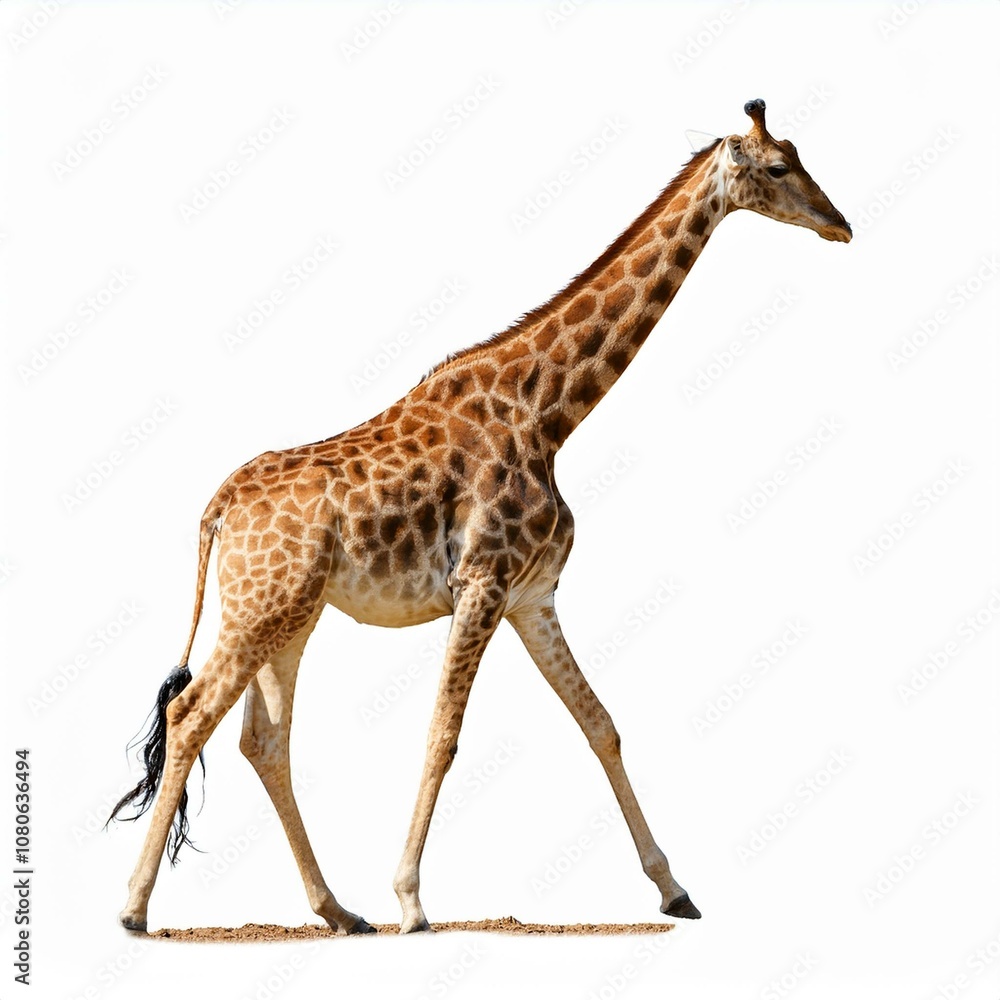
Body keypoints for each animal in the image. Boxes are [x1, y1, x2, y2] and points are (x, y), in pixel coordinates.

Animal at [110, 99, 850, 934]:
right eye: (780, 168)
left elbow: (600, 723)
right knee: (191, 714)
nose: (841, 224)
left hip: (290, 616)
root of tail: (217, 507)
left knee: (264, 741)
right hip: (257, 610)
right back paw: (136, 907)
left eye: (800, 155)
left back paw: (338, 910)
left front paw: (674, 888)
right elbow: (444, 735)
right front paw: (410, 899)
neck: (550, 413)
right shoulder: (481, 583)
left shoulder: (534, 596)